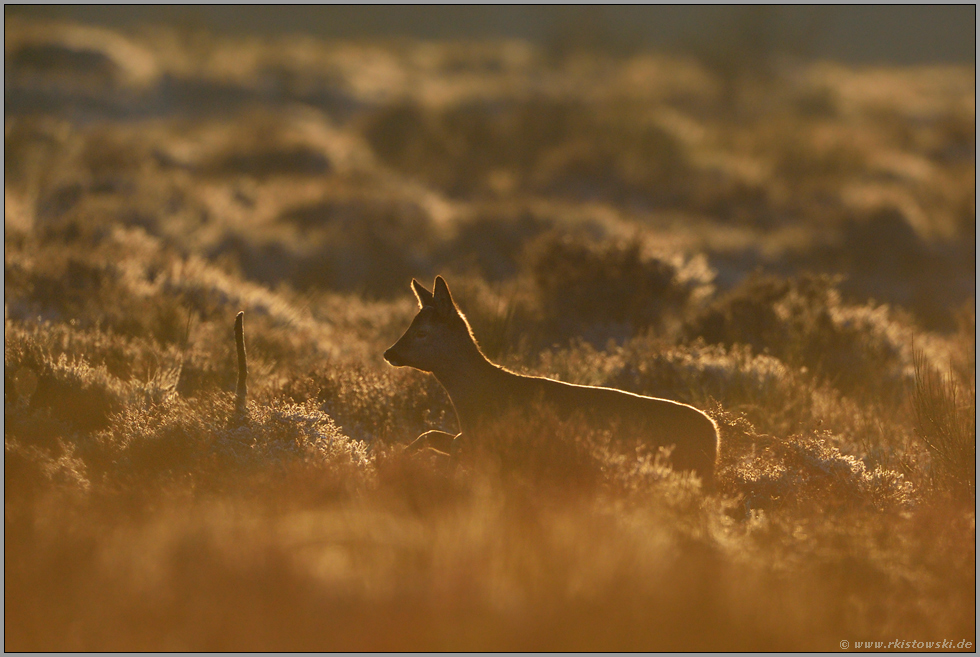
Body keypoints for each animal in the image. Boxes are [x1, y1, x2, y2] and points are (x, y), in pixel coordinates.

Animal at [382, 274, 720, 484]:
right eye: (411, 324)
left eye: (422, 332)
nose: (389, 352)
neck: (479, 399)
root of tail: (715, 435)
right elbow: (432, 436)